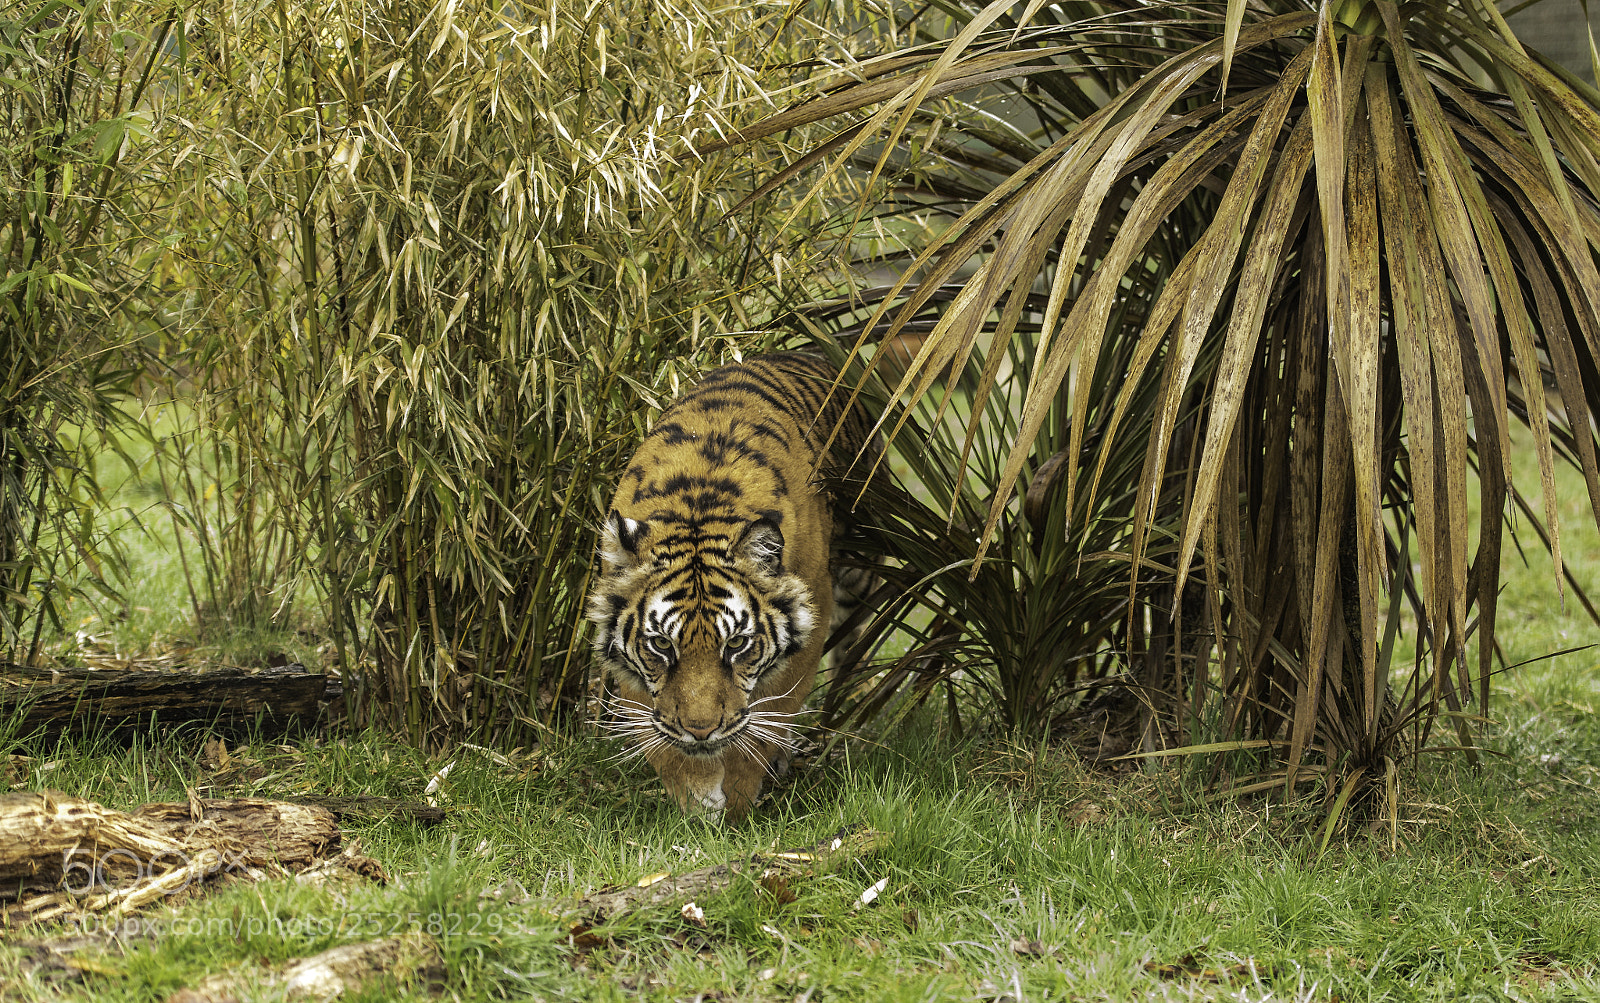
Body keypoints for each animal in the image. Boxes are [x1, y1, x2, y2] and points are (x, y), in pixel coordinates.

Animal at [586, 351, 876, 823]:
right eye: (662, 645)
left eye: (737, 644)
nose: (702, 731)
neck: (697, 506)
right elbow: (665, 741)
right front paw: (696, 806)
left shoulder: (809, 629)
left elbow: (761, 726)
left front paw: (738, 808)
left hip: (860, 568)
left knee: (857, 645)